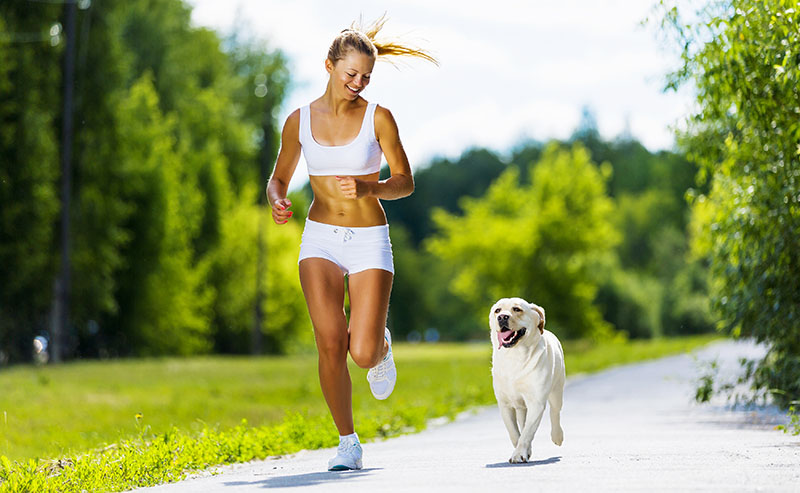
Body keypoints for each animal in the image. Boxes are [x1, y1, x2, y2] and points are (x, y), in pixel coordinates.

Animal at [490, 298, 564, 464]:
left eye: (517, 309)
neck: (515, 355)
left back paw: (557, 437)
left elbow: (527, 432)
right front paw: (523, 450)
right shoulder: (505, 404)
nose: (502, 317)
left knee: (555, 412)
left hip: (557, 390)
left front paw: (519, 454)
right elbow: (515, 432)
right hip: (521, 406)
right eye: (497, 310)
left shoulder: (536, 402)